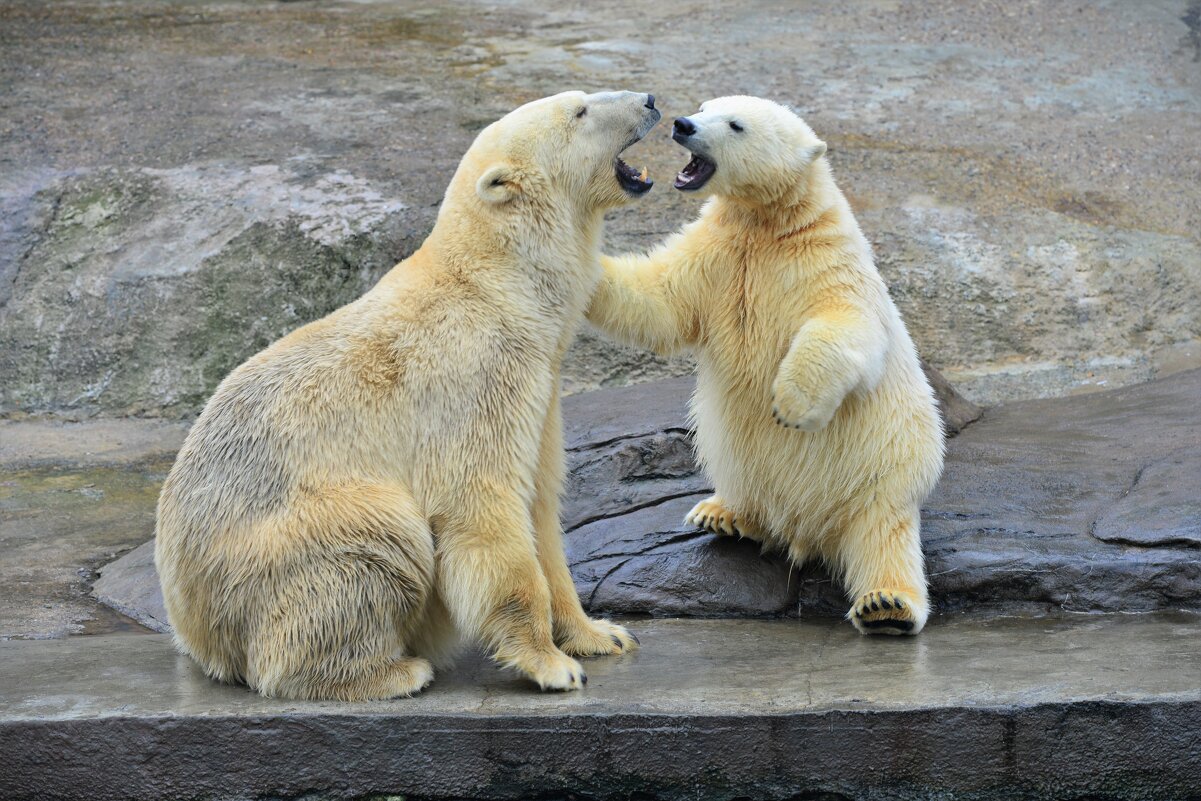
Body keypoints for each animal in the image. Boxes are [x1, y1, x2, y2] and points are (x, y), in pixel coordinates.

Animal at [154, 90, 662, 696]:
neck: (499, 287)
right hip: (285, 543)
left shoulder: (539, 389)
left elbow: (540, 507)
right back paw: (393, 671)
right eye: (579, 111)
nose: (650, 100)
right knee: (382, 537)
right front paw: (551, 665)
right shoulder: (476, 375)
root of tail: (190, 622)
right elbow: (482, 504)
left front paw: (602, 634)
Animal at [590, 95, 946, 634]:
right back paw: (722, 513)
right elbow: (662, 298)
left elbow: (845, 325)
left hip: (883, 469)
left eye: (735, 124)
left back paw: (887, 605)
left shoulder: (823, 262)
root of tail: (808, 530)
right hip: (743, 461)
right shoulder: (716, 255)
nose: (683, 124)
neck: (770, 223)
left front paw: (790, 405)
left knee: (882, 537)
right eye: (705, 106)